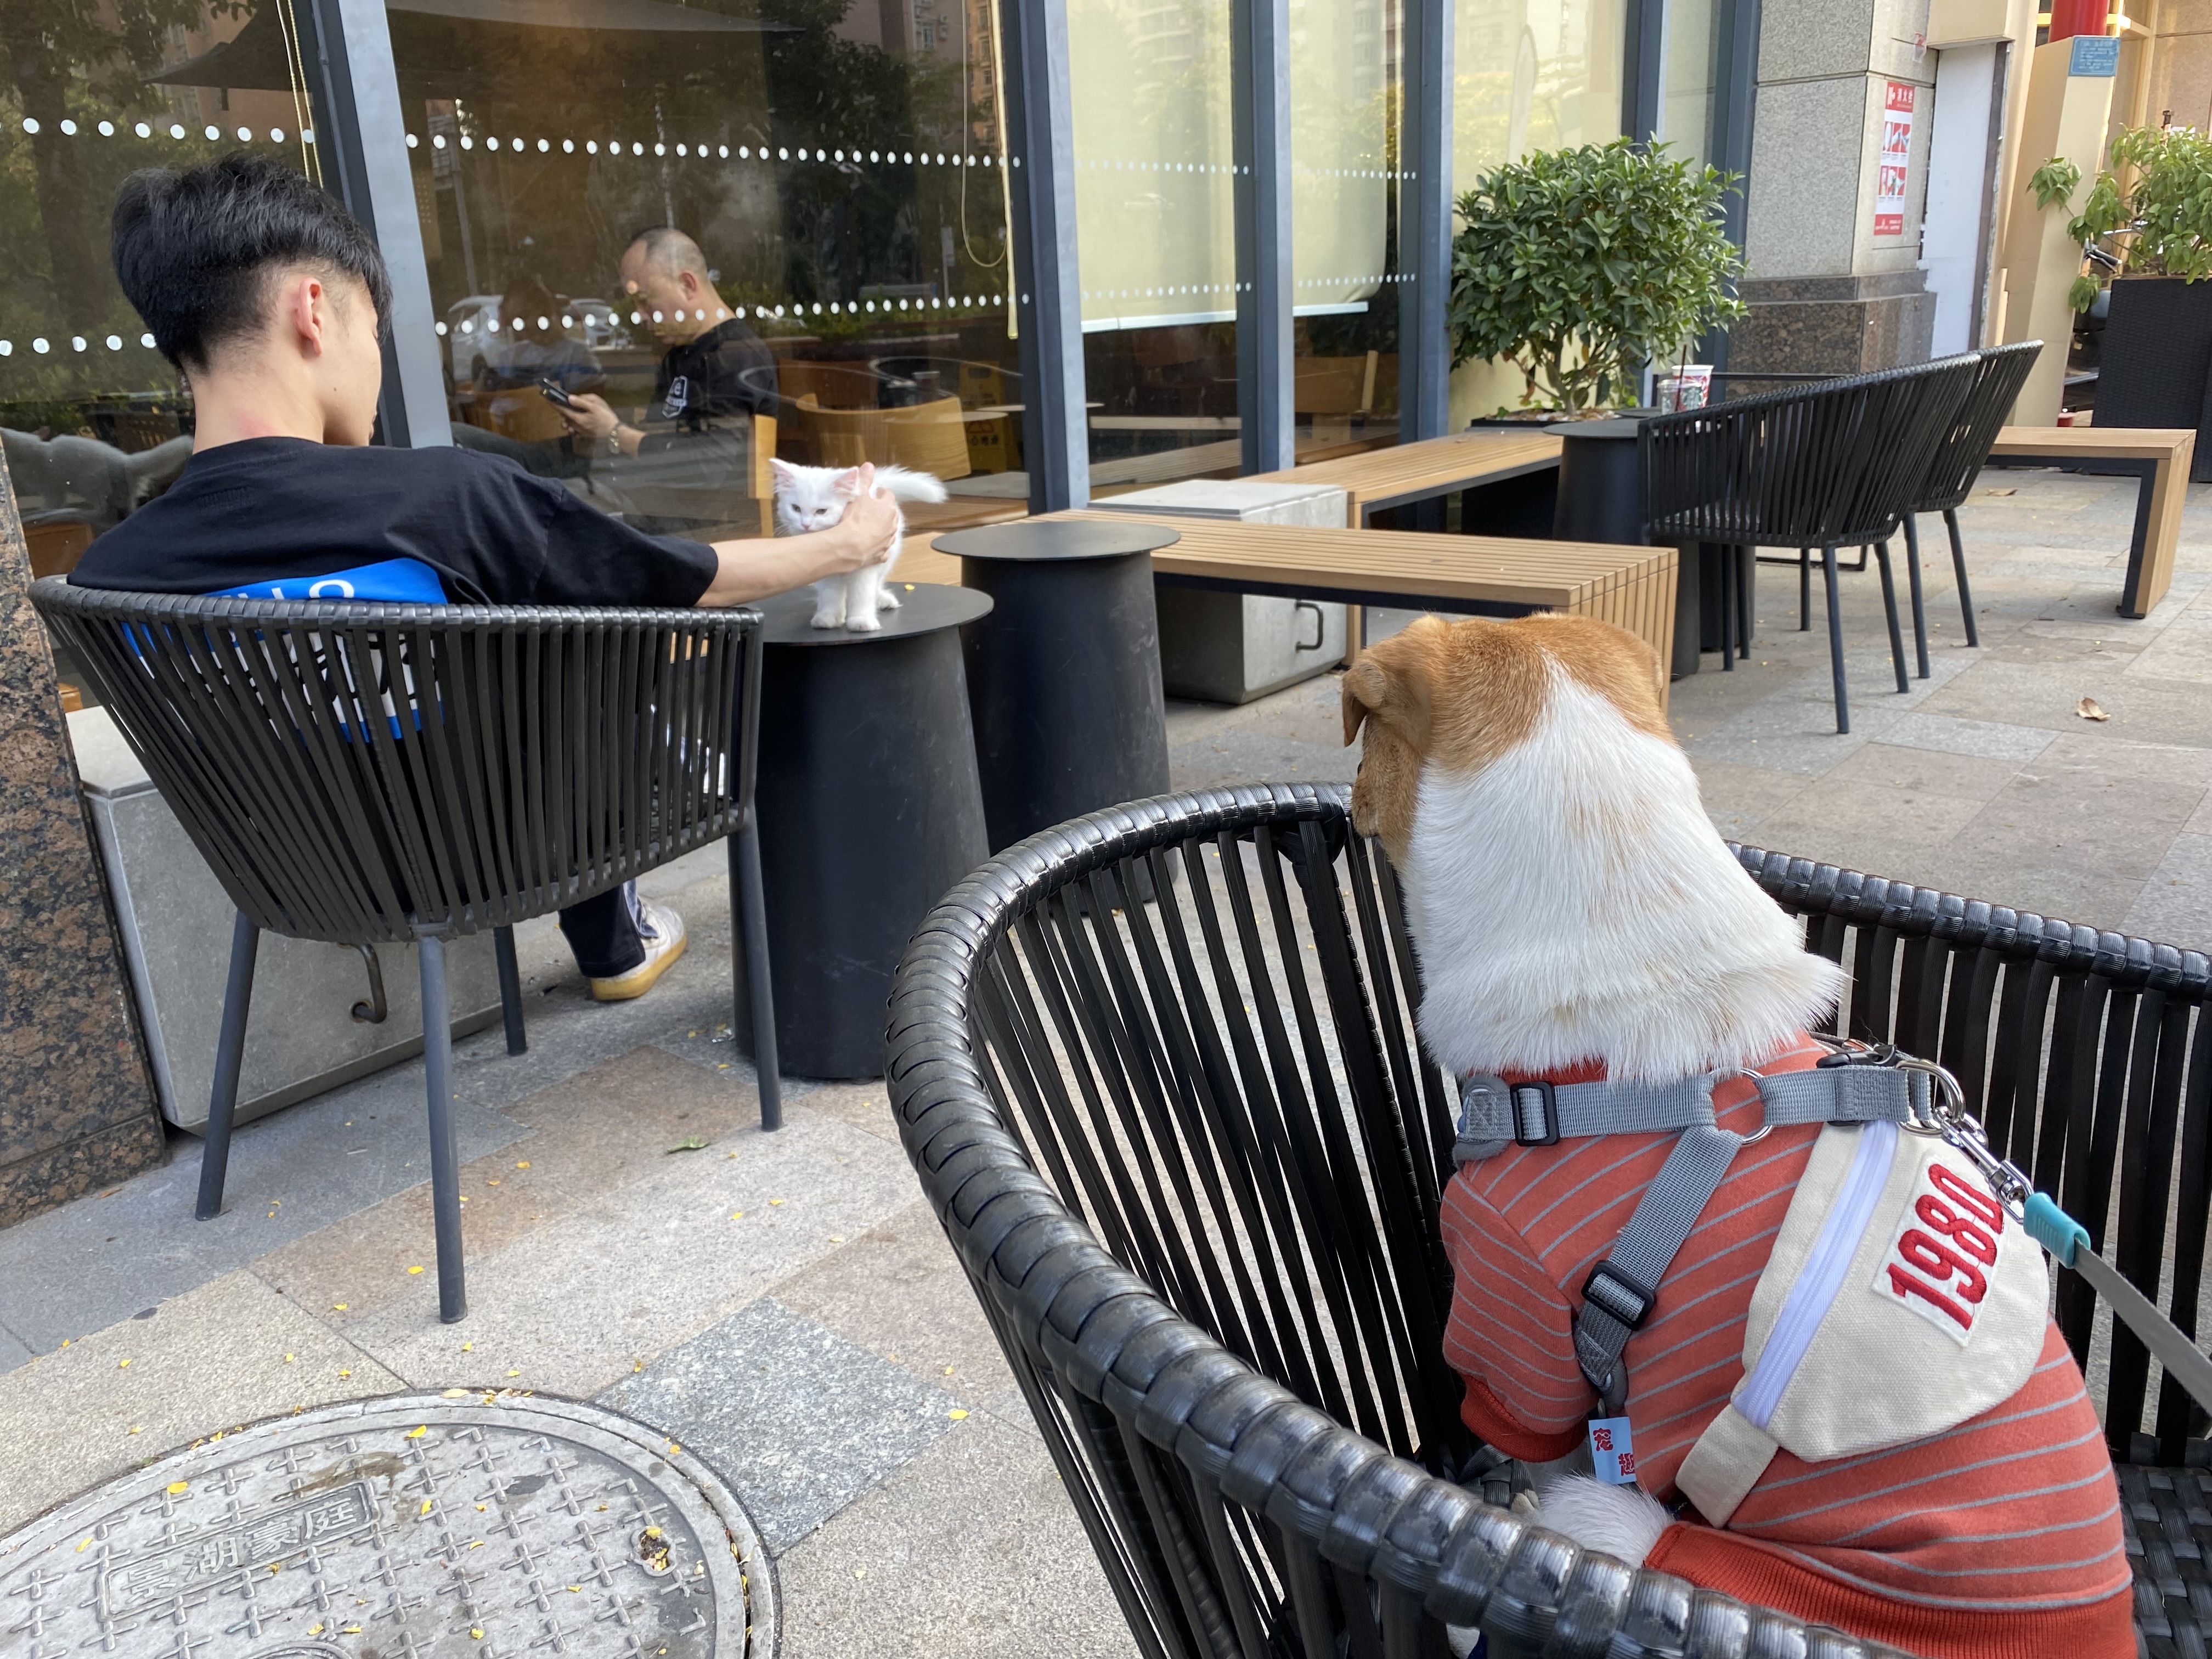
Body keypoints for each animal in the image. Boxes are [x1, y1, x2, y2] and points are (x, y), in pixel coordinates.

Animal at [769, 457, 948, 632]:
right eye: (796, 509)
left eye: (821, 511)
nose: (806, 525)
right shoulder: (825, 570)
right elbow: (830, 596)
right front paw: (828, 617)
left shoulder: (866, 568)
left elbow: (862, 596)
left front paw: (861, 621)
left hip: (887, 559)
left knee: (877, 585)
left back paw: (883, 600)